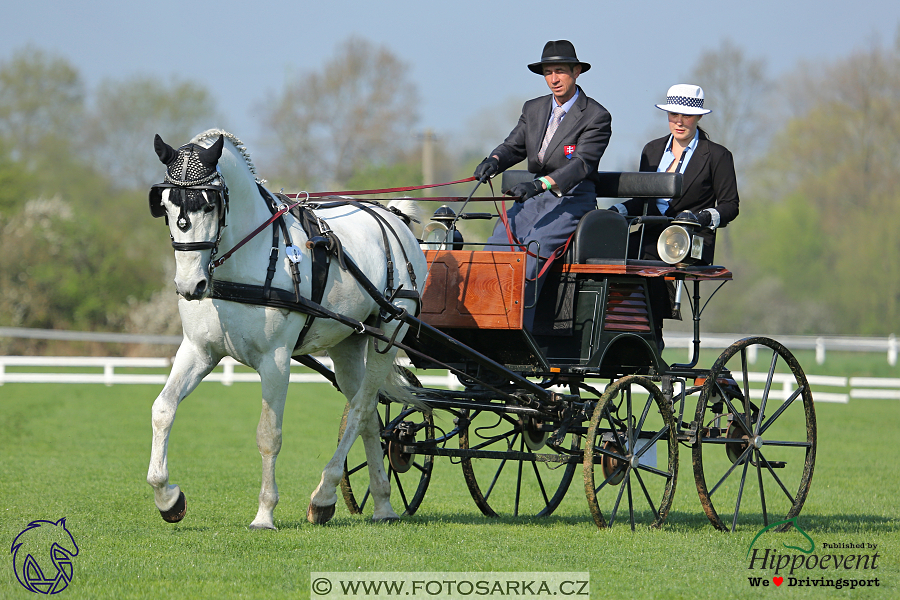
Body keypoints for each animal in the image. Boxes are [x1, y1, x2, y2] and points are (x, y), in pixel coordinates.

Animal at [146, 129, 428, 528]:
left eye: (209, 205)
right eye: (166, 206)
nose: (190, 285)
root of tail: (395, 218)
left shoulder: (276, 360)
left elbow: (269, 434)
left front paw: (264, 512)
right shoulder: (198, 350)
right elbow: (163, 409)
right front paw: (167, 497)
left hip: (388, 333)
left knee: (359, 409)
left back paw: (324, 494)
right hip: (349, 342)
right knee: (370, 415)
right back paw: (383, 504)